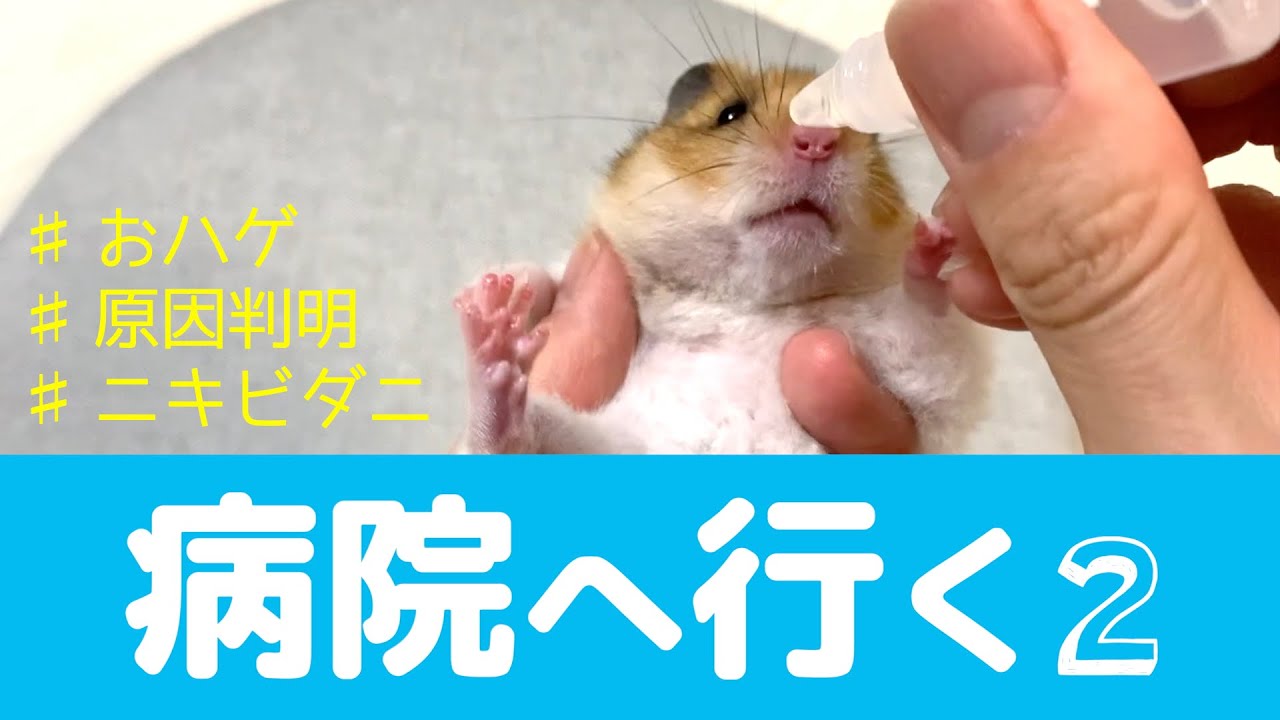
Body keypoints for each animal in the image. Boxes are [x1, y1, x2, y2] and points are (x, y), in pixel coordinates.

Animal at [452, 60, 991, 454]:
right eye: (729, 113)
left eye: (869, 138)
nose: (818, 142)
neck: (744, 303)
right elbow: (554, 271)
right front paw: (496, 288)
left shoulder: (919, 389)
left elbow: (925, 323)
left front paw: (935, 238)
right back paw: (493, 338)